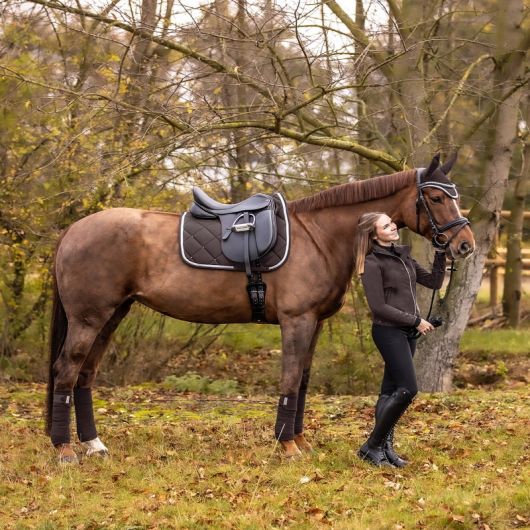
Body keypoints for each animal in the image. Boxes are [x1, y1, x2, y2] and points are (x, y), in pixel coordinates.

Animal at [46, 154, 474, 462]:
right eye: (437, 197)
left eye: (455, 195)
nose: (465, 245)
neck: (319, 237)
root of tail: (72, 230)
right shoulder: (296, 321)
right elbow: (289, 380)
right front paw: (286, 446)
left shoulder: (314, 324)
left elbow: (302, 382)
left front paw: (300, 441)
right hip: (89, 319)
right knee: (67, 371)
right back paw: (65, 450)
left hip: (112, 316)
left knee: (85, 376)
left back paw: (94, 445)